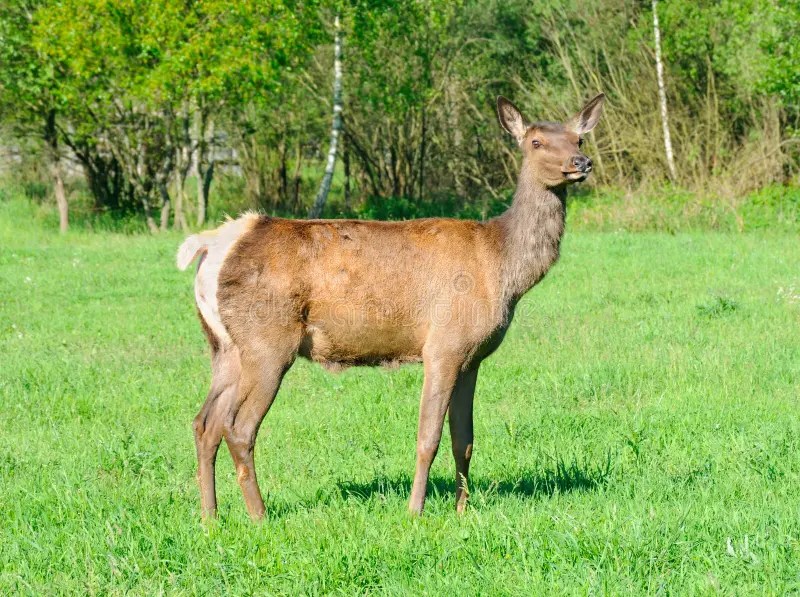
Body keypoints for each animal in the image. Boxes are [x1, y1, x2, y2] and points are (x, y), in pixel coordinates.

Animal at [177, 93, 605, 519]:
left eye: (578, 139)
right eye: (535, 142)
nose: (581, 163)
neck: (501, 267)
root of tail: (212, 245)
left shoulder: (472, 357)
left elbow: (464, 440)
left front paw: (461, 510)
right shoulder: (443, 344)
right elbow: (428, 436)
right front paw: (415, 511)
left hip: (224, 346)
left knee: (204, 422)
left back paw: (210, 516)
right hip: (267, 341)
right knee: (238, 426)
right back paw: (259, 516)